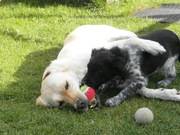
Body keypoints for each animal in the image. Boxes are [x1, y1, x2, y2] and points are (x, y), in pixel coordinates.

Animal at [36, 24, 166, 110]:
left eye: (66, 85)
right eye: (61, 103)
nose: (80, 104)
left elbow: (133, 41)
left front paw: (154, 47)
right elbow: (138, 89)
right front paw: (167, 93)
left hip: (117, 33)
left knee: (132, 36)